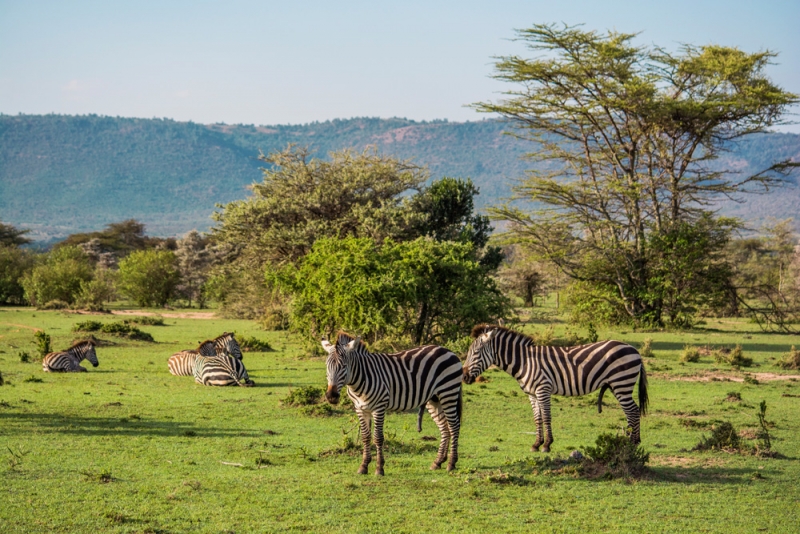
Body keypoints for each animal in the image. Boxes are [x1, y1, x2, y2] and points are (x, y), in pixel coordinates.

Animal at [324, 336, 462, 478]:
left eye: (344, 366)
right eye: (327, 366)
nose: (331, 396)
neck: (360, 380)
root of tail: (447, 350)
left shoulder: (379, 407)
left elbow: (378, 437)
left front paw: (379, 468)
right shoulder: (360, 408)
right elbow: (365, 436)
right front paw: (363, 466)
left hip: (448, 392)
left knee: (454, 426)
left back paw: (451, 463)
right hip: (434, 399)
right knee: (444, 428)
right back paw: (438, 462)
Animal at [460, 326, 648, 452]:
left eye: (475, 352)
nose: (464, 377)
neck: (525, 362)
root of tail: (634, 350)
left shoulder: (543, 389)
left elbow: (547, 417)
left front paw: (547, 445)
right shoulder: (532, 394)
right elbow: (537, 418)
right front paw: (536, 444)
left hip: (621, 383)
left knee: (633, 411)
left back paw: (632, 443)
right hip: (620, 385)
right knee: (631, 411)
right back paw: (631, 441)